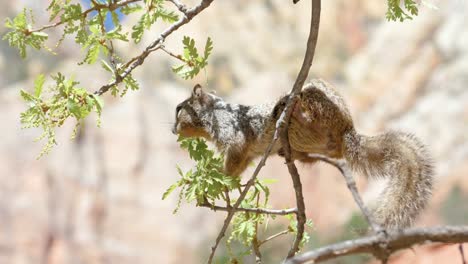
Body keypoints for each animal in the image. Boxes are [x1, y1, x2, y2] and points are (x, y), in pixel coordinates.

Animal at [174, 79, 434, 229]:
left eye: (179, 109)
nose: (172, 129)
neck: (213, 115)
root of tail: (347, 133)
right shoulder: (246, 155)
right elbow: (240, 165)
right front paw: (219, 181)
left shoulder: (232, 134)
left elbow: (234, 157)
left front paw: (220, 177)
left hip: (317, 99)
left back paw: (291, 108)